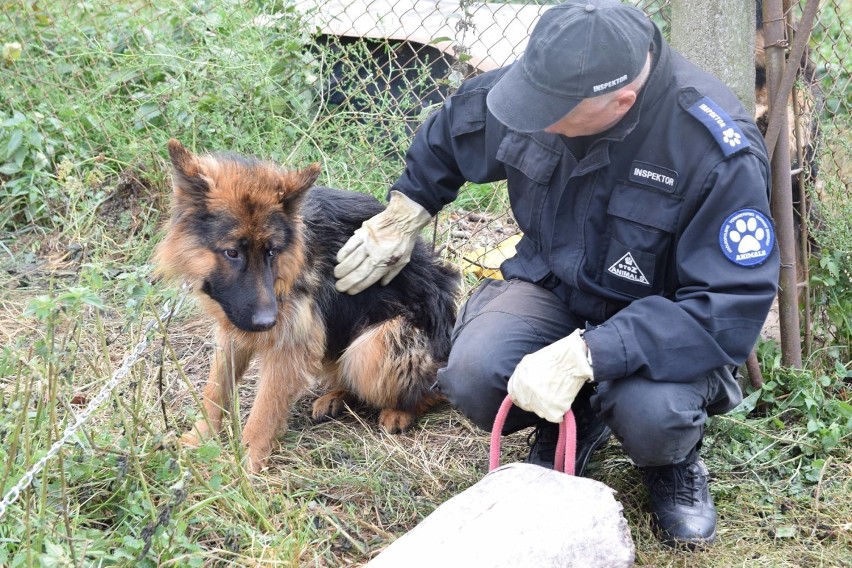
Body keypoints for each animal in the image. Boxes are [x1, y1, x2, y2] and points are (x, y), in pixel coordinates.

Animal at [153, 140, 460, 472]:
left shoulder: (289, 345)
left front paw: (246, 466)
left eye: (272, 252)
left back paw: (400, 411)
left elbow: (263, 414)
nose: (267, 322)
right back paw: (336, 396)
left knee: (432, 388)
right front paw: (197, 438)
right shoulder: (233, 331)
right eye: (232, 252)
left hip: (374, 348)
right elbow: (215, 391)